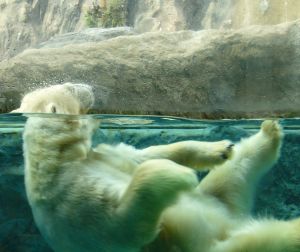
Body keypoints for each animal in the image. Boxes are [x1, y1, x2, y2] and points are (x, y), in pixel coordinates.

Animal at [21, 83, 300, 251]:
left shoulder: (103, 155)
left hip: (220, 201)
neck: (61, 159)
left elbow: (142, 156)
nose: (88, 86)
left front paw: (218, 149)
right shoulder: (70, 202)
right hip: (216, 246)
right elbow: (122, 223)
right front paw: (181, 175)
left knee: (233, 174)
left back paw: (268, 133)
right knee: (264, 240)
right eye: (68, 88)